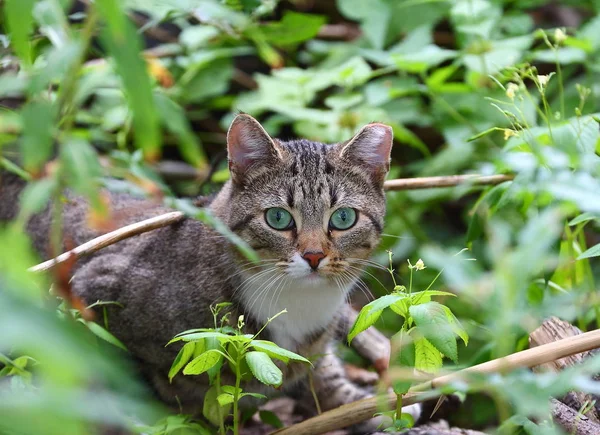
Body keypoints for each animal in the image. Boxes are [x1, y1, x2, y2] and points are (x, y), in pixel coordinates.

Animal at [0, 115, 422, 432]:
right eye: (278, 218)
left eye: (344, 218)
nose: (314, 256)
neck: (299, 302)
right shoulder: (91, 293)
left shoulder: (313, 346)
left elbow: (321, 373)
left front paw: (370, 406)